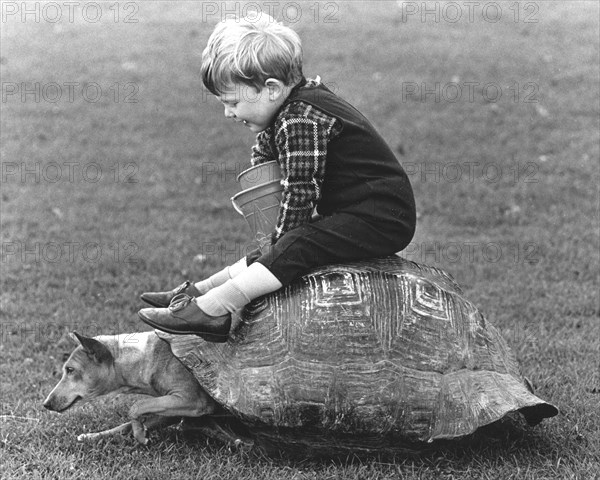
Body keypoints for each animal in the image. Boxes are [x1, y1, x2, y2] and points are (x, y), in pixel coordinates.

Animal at [42, 332, 216, 444]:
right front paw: (93, 436)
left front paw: (139, 434)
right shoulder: (174, 410)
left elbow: (136, 406)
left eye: (70, 370)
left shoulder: (193, 400)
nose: (45, 404)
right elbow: (125, 424)